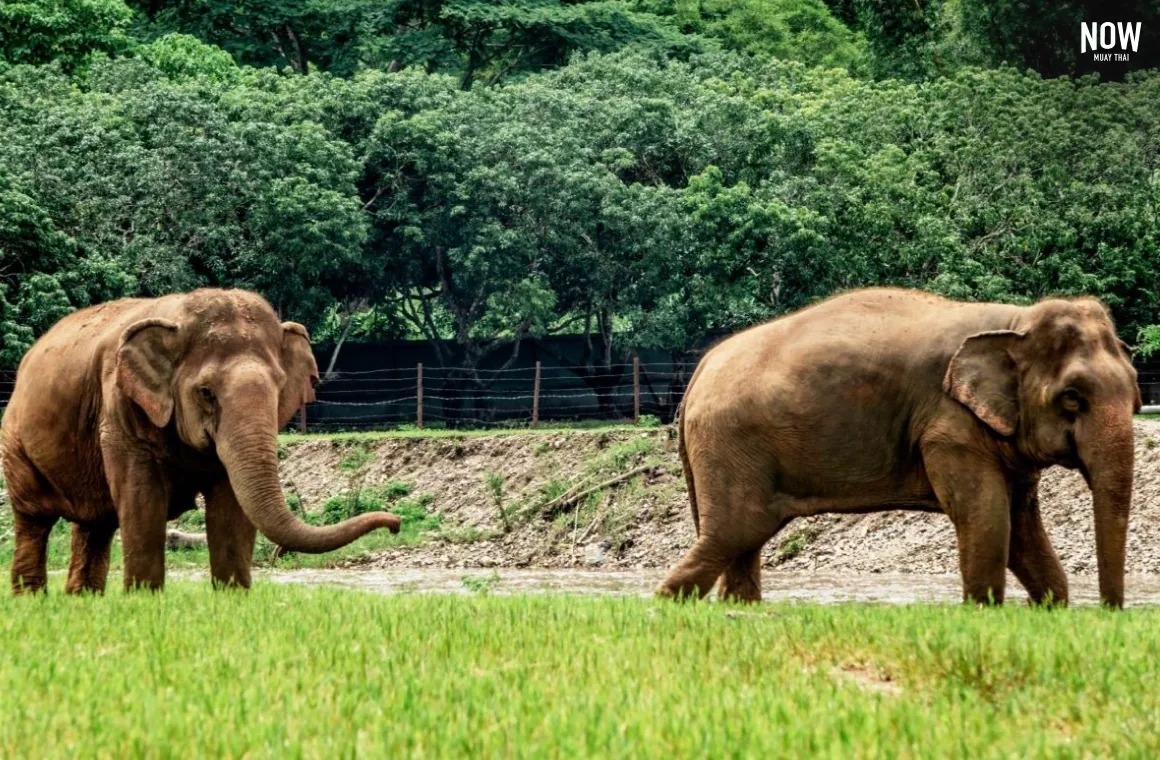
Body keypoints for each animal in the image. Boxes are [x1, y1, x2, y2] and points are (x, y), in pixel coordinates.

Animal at [1, 288, 402, 594]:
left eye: (279, 387)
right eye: (206, 392)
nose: (396, 523)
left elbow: (231, 504)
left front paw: (233, 597)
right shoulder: (120, 410)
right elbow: (142, 499)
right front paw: (144, 601)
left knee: (93, 524)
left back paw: (82, 599)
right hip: (15, 442)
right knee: (34, 519)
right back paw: (32, 600)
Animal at [657, 288, 1141, 607]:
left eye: (1136, 390)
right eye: (1072, 397)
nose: (1109, 613)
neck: (1015, 322)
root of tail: (701, 369)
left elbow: (1021, 526)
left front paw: (1052, 606)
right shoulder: (949, 424)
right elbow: (987, 516)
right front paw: (984, 611)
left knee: (743, 538)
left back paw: (739, 608)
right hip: (731, 443)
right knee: (735, 530)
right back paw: (664, 604)